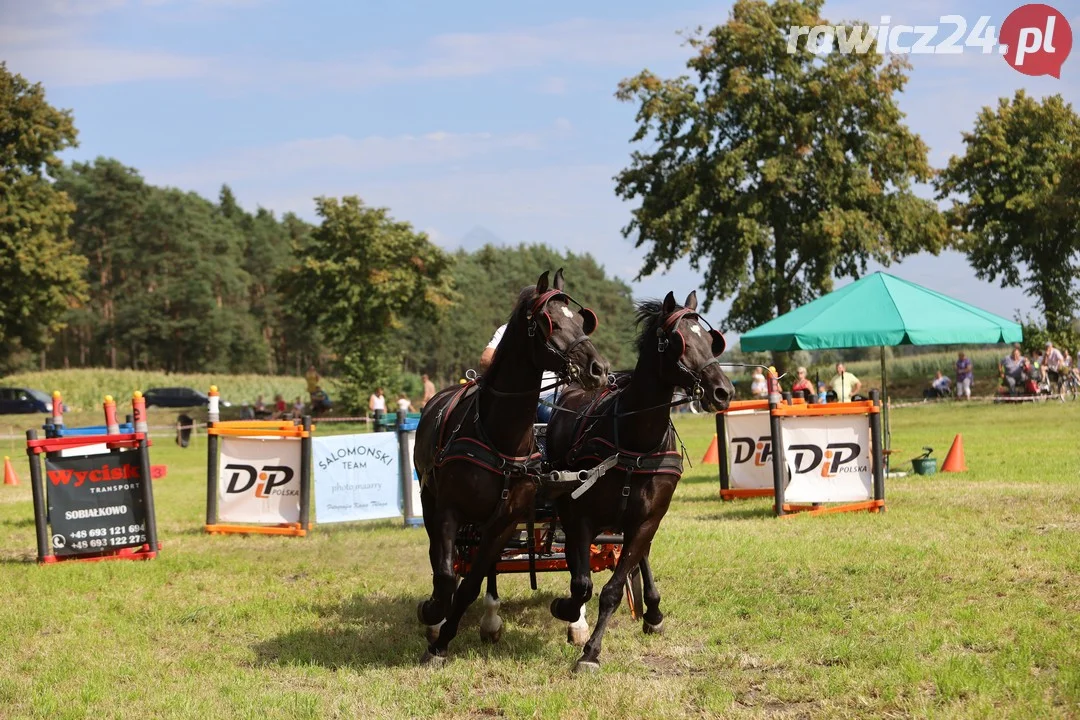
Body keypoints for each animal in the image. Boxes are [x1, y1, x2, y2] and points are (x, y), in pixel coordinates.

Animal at [410, 269, 609, 664]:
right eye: (548, 321)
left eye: (582, 320)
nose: (598, 369)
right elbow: (445, 575)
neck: (499, 435)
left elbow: (471, 582)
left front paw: (445, 640)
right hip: (428, 500)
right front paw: (435, 619)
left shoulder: (505, 519)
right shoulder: (449, 510)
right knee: (441, 557)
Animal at [548, 289, 734, 673]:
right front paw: (569, 613)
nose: (723, 391)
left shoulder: (647, 519)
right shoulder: (581, 516)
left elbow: (613, 589)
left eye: (711, 340)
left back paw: (653, 611)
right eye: (678, 341)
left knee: (640, 555)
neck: (633, 440)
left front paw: (591, 651)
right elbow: (582, 583)